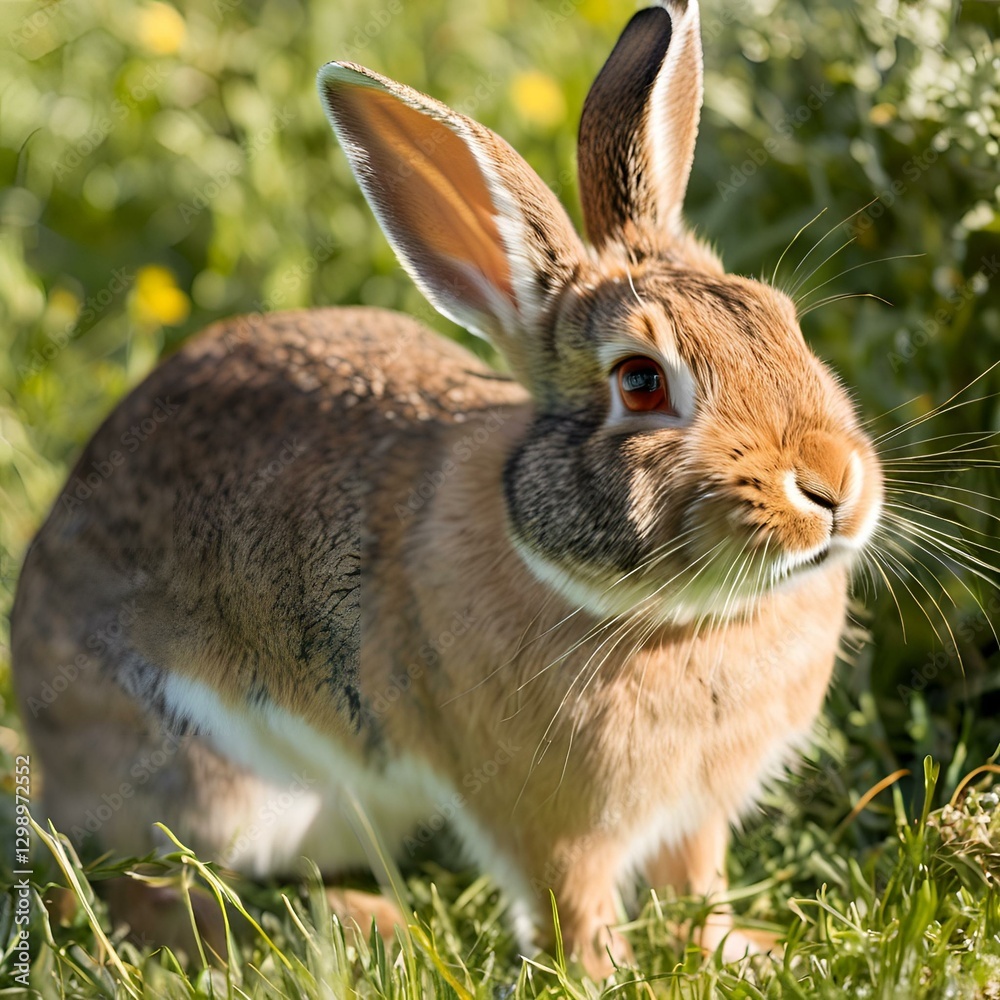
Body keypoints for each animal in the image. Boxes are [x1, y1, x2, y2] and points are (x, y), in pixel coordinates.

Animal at [11, 0, 884, 978]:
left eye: (783, 322)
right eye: (641, 382)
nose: (833, 488)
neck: (675, 619)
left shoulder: (696, 816)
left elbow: (695, 887)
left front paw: (740, 952)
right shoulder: (555, 825)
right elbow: (575, 908)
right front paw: (603, 976)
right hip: (205, 782)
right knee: (144, 893)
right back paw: (358, 927)